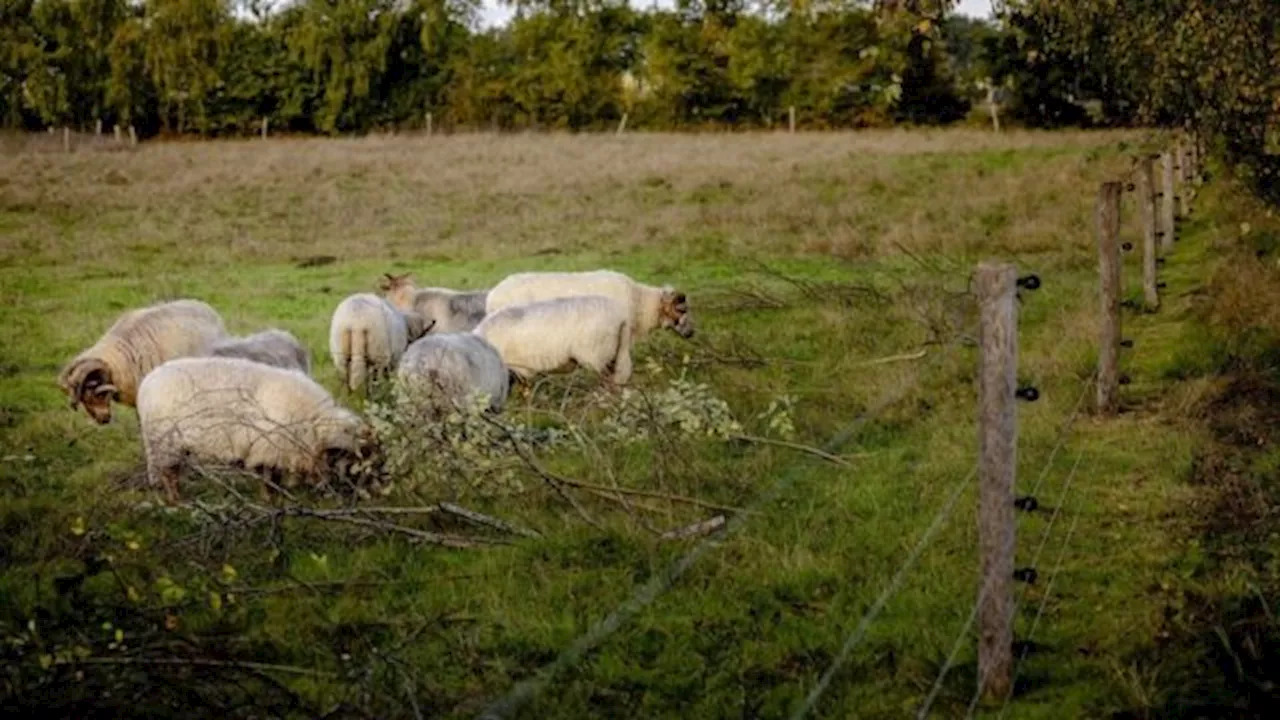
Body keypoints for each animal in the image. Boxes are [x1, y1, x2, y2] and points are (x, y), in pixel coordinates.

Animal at [137, 356, 373, 502]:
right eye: (346, 456)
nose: (354, 495)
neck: (309, 422)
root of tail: (146, 384)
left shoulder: (276, 450)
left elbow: (273, 477)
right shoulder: (268, 446)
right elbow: (267, 478)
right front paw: (269, 500)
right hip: (166, 442)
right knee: (169, 474)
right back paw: (177, 500)